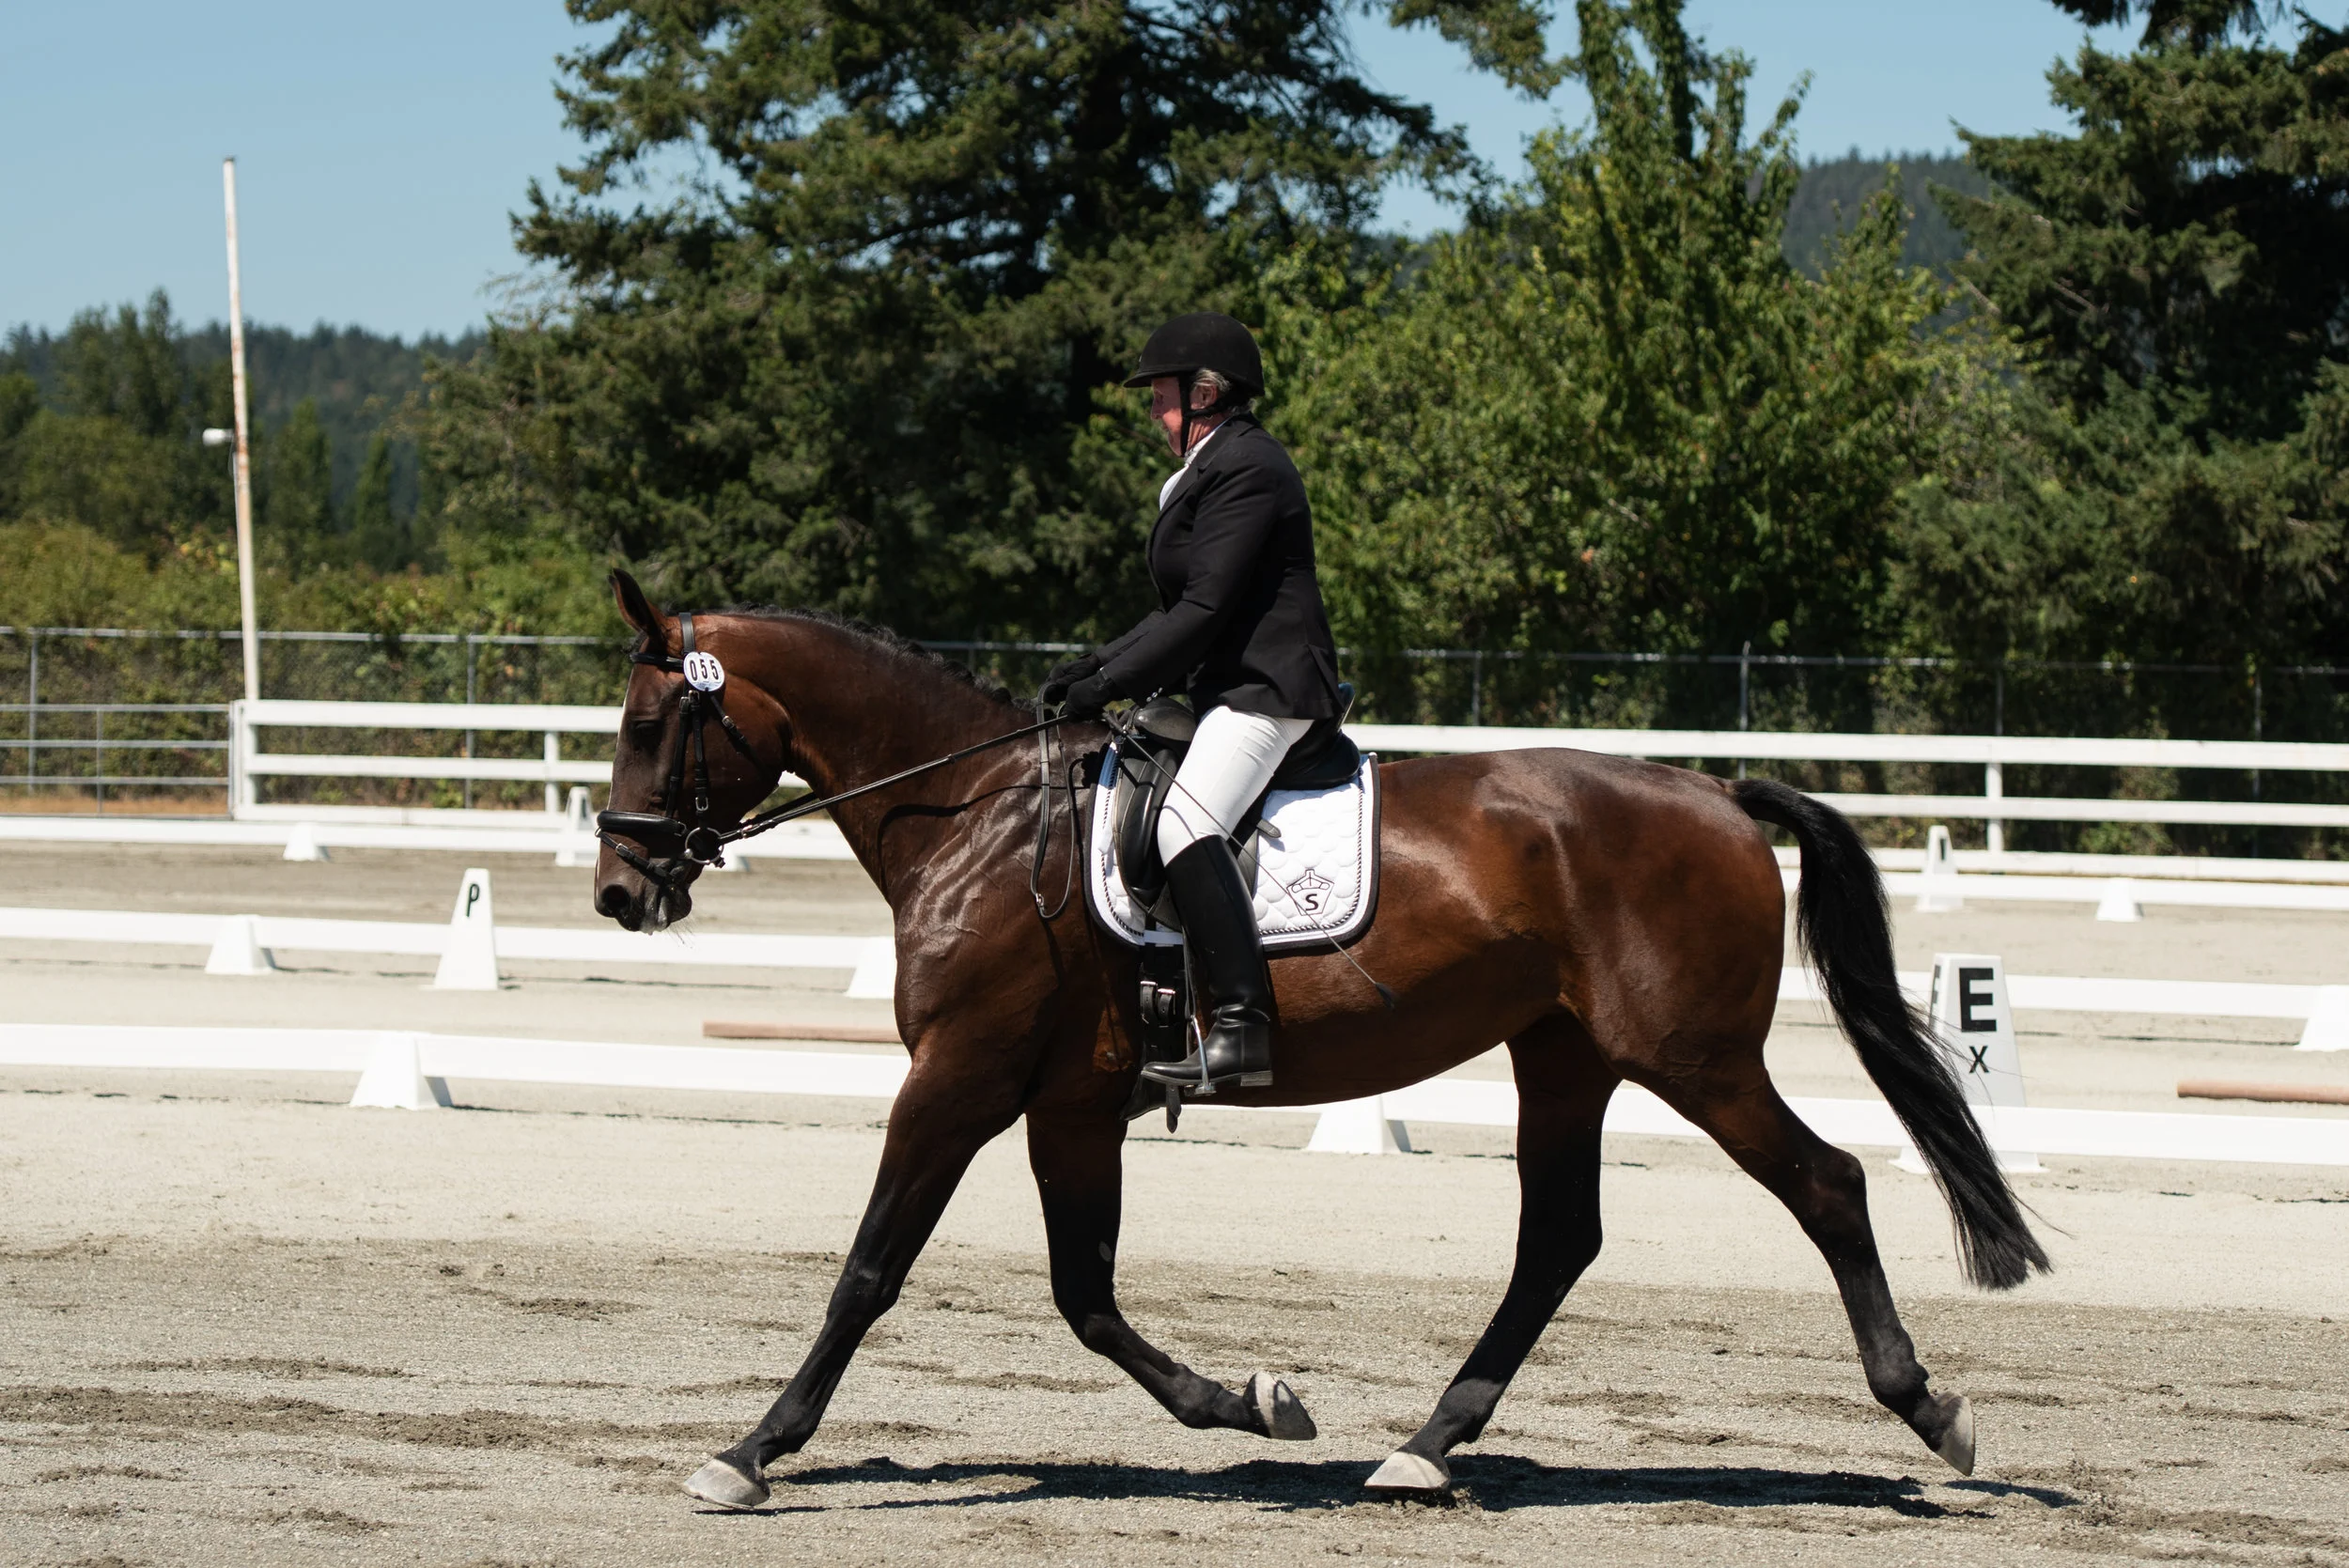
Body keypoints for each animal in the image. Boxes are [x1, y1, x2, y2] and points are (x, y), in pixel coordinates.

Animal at [589, 571, 2048, 1509]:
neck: (978, 814)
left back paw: (1937, 1415)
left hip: (1691, 1057)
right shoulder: (1069, 1104)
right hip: (1564, 1054)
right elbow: (1085, 1295)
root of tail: (1717, 794)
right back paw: (1423, 1448)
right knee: (1558, 1240)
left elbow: (868, 1272)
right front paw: (1255, 1402)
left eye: (652, 724)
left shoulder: (956, 1079)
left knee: (1827, 1184)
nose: (618, 892)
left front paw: (748, 1452)